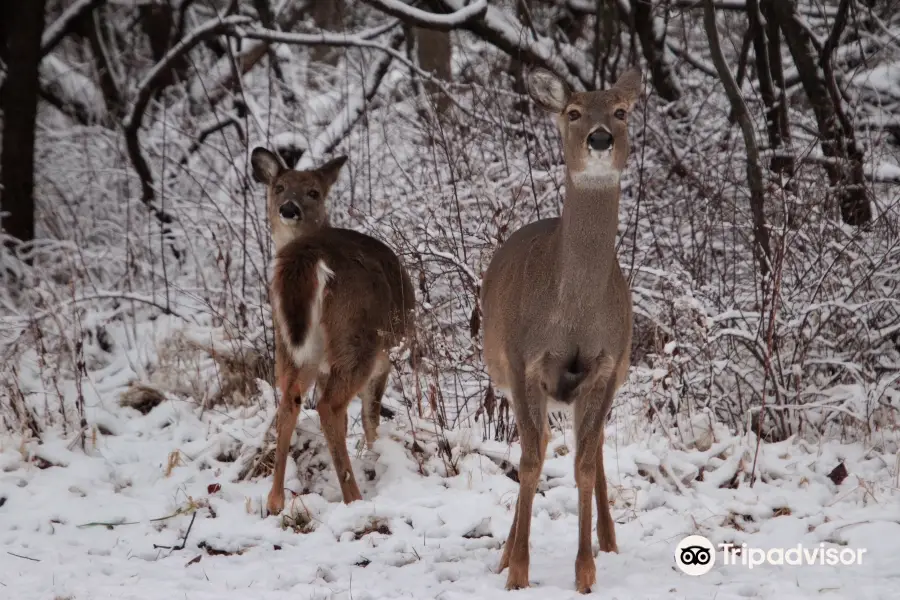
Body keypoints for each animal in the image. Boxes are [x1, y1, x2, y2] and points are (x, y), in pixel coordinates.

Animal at [251, 146, 416, 516]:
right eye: (279, 187)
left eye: (314, 192)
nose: (289, 209)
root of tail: (307, 254)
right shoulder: (386, 358)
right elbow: (371, 415)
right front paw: (376, 456)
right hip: (358, 338)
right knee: (330, 406)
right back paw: (354, 498)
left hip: (289, 344)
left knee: (290, 401)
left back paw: (275, 500)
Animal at [482, 65, 644, 592]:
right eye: (573, 112)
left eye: (621, 111)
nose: (600, 138)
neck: (571, 310)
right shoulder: (523, 363)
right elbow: (531, 462)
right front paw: (517, 570)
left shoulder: (606, 365)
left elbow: (584, 464)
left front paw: (586, 571)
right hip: (508, 376)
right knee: (535, 446)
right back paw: (505, 553)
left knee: (589, 448)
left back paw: (608, 541)